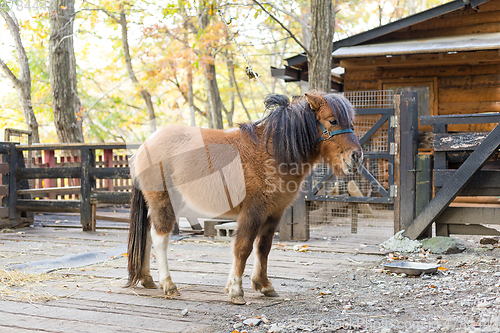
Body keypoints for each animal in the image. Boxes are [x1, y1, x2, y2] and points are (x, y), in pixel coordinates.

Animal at [127, 91, 362, 304]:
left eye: (351, 122)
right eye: (332, 120)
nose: (356, 156)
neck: (271, 153)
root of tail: (145, 145)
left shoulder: (274, 213)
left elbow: (263, 247)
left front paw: (263, 285)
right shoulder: (252, 211)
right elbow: (243, 248)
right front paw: (236, 290)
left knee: (147, 232)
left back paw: (147, 279)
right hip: (164, 203)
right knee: (160, 238)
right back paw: (168, 285)